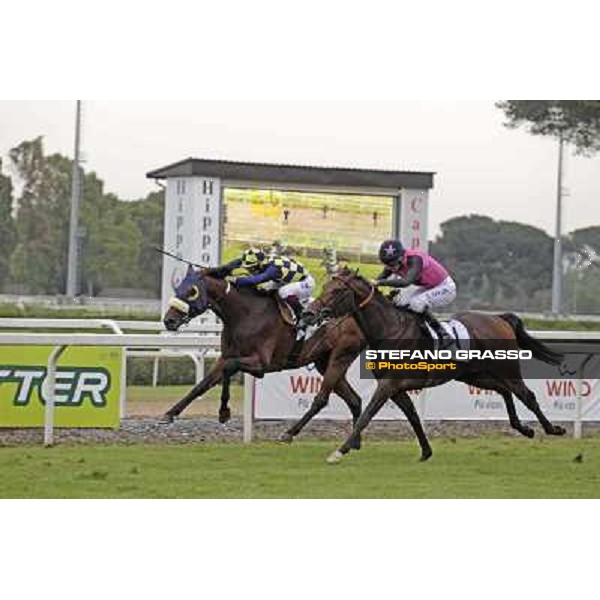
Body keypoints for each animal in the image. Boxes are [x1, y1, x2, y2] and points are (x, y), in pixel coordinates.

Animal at [163, 264, 408, 442]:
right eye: (179, 288)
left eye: (191, 291)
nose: (169, 321)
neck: (245, 314)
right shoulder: (225, 357)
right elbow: (202, 385)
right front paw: (171, 413)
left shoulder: (260, 364)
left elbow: (229, 368)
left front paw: (224, 412)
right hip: (324, 361)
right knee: (355, 400)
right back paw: (355, 441)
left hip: (341, 356)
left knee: (322, 399)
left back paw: (290, 433)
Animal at [304, 268, 568, 464]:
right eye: (325, 287)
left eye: (337, 290)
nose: (308, 313)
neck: (390, 329)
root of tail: (499, 318)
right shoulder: (395, 387)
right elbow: (412, 415)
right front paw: (426, 452)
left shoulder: (388, 384)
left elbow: (366, 416)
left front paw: (339, 451)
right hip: (474, 375)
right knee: (504, 391)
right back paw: (524, 428)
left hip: (507, 370)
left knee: (527, 395)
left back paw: (553, 429)